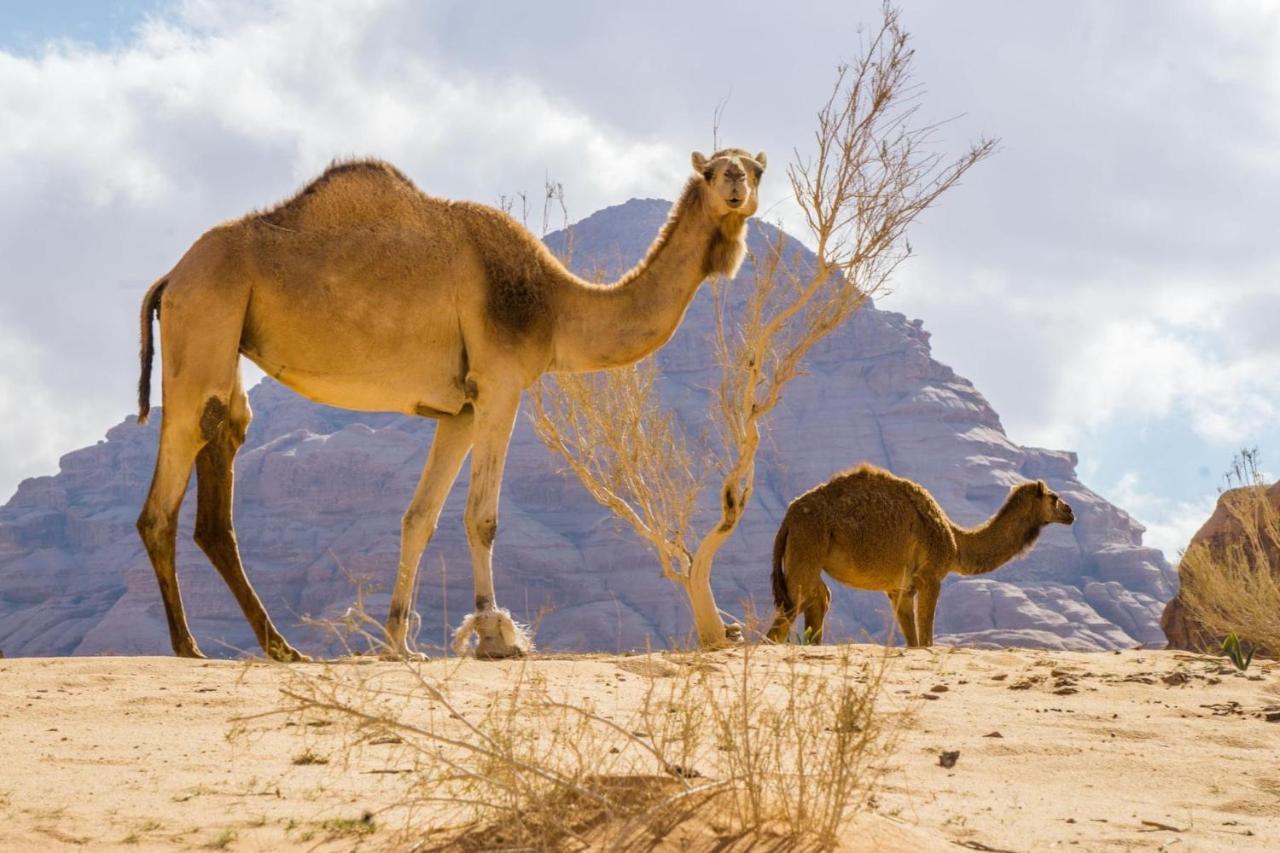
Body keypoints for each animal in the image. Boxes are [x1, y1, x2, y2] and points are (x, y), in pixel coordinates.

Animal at [136, 147, 762, 655]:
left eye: (755, 168)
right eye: (710, 171)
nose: (735, 183)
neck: (554, 303)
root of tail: (170, 276)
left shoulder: (460, 409)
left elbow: (420, 518)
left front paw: (398, 643)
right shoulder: (501, 385)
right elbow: (481, 517)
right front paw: (495, 636)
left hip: (221, 341)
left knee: (219, 471)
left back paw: (279, 648)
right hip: (207, 317)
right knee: (166, 496)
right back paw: (193, 646)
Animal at [762, 466, 1075, 645]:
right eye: (1054, 497)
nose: (1070, 512)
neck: (956, 541)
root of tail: (788, 517)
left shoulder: (899, 589)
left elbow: (913, 641)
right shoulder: (930, 576)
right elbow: (926, 639)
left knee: (818, 598)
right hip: (807, 544)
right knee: (792, 610)